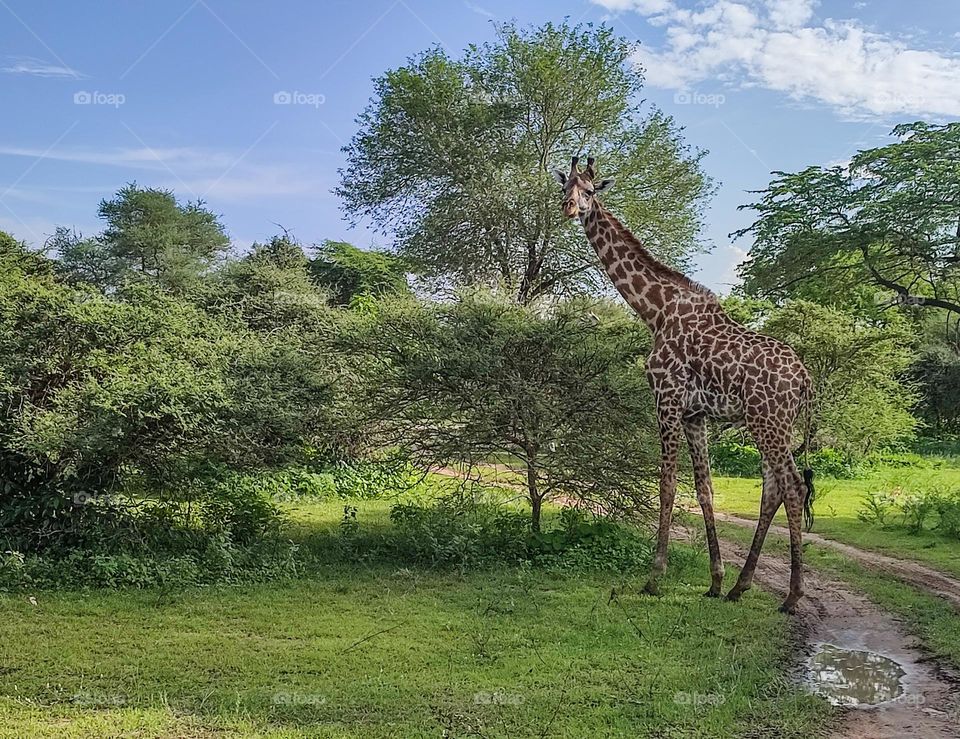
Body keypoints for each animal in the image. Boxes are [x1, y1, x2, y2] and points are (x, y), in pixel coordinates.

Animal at [552, 156, 812, 612]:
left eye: (591, 190)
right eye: (566, 185)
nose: (569, 207)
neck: (654, 311)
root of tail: (804, 379)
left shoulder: (666, 398)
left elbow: (668, 485)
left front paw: (654, 578)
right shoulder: (695, 414)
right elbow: (704, 489)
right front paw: (714, 580)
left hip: (768, 423)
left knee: (793, 487)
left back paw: (792, 596)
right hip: (772, 426)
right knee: (774, 489)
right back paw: (740, 587)